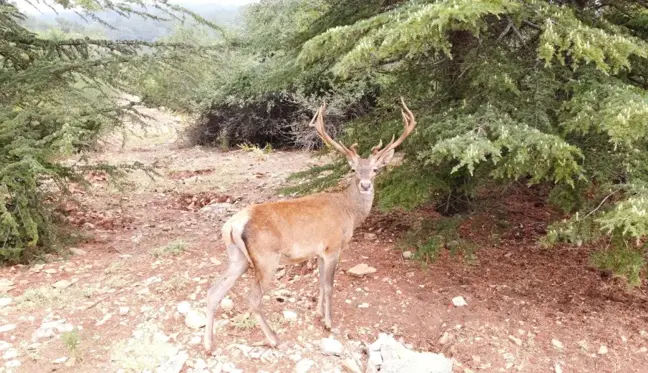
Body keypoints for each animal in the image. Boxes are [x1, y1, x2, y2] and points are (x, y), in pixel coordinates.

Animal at [204, 96, 416, 352]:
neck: (348, 212)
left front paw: (318, 314)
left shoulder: (318, 252)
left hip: (237, 258)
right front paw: (329, 323)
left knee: (213, 291)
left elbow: (319, 283)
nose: (365, 185)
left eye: (375, 169)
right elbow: (329, 286)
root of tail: (232, 225)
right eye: (353, 169)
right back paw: (274, 339)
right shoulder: (333, 246)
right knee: (253, 298)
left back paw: (209, 344)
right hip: (266, 258)